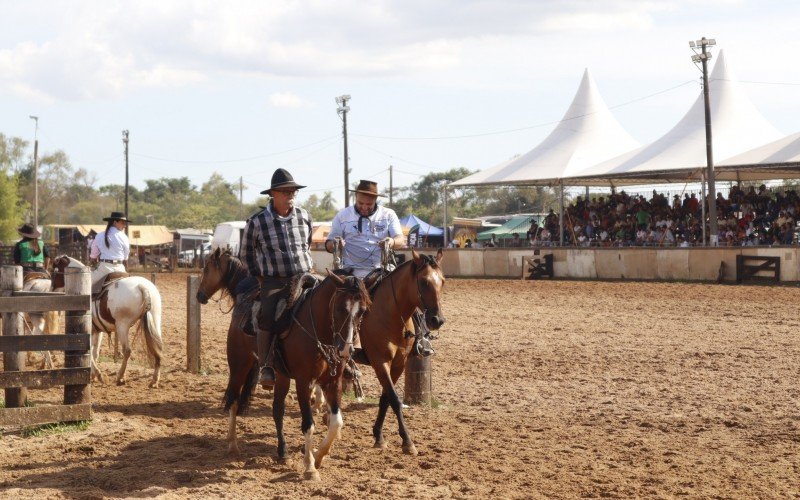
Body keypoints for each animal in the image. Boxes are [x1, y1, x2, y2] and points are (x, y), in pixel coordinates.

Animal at [51, 256, 164, 388]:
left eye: (54, 271)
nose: (52, 290)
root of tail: (141, 286)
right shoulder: (97, 331)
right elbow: (95, 352)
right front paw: (93, 376)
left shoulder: (89, 330)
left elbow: (90, 351)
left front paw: (99, 375)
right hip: (155, 320)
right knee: (158, 348)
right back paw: (154, 380)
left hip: (122, 325)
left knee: (127, 350)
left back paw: (120, 377)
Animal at [195, 250, 370, 480]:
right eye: (340, 308)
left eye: (363, 311)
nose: (347, 350)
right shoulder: (303, 382)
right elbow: (308, 424)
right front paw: (310, 467)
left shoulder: (333, 382)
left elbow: (336, 422)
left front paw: (319, 455)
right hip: (239, 365)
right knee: (233, 400)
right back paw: (233, 444)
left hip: (282, 375)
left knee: (277, 409)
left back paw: (282, 451)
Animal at [360, 248, 446, 456]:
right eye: (423, 281)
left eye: (443, 280)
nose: (437, 320)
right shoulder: (380, 362)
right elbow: (394, 399)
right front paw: (407, 441)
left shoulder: (399, 363)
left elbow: (385, 398)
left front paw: (378, 435)